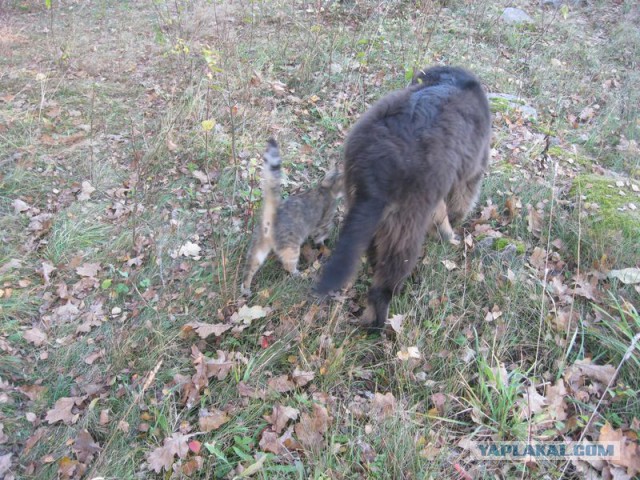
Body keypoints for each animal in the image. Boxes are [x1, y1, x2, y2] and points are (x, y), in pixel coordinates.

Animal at [240, 139, 342, 296]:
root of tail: (273, 213)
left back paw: (245, 289)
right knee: (288, 265)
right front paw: (324, 245)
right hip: (291, 248)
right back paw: (299, 274)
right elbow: (321, 236)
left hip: (258, 247)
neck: (325, 187)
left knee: (249, 269)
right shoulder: (323, 223)